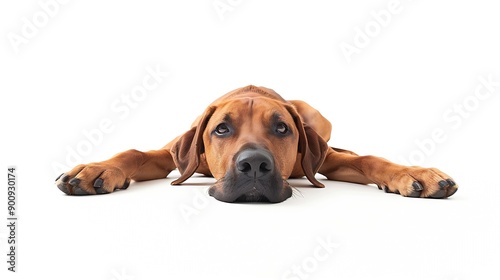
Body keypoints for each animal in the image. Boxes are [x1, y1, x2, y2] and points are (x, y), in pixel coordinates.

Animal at [54, 84, 458, 202]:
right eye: (221, 130)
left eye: (282, 129)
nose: (253, 166)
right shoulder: (173, 152)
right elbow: (137, 152)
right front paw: (97, 169)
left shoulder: (328, 159)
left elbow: (367, 158)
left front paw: (412, 173)